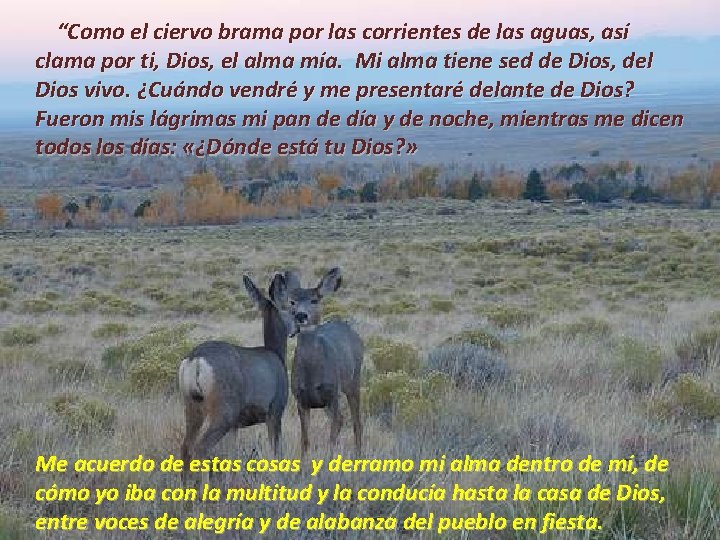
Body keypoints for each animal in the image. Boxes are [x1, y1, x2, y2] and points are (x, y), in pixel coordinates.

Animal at [178, 273, 294, 483]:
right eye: (291, 305)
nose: (299, 324)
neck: (276, 354)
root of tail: (195, 360)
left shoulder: (236, 425)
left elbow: (233, 459)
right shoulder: (275, 411)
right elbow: (277, 454)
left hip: (192, 405)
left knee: (185, 446)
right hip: (224, 410)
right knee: (201, 448)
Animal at [284, 267, 364, 457]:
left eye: (314, 300)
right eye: (292, 301)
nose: (301, 315)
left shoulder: (332, 394)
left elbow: (332, 435)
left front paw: (330, 458)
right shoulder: (300, 399)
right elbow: (305, 440)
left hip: (353, 381)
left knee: (356, 421)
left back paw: (358, 454)